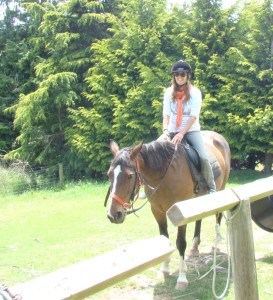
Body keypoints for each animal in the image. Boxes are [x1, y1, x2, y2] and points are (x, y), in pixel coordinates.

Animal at [105, 130, 228, 290]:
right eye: (109, 174)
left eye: (130, 176)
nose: (114, 214)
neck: (165, 173)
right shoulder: (157, 211)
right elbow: (164, 240)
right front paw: (164, 270)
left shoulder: (181, 212)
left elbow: (180, 243)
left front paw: (182, 279)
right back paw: (194, 248)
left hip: (221, 190)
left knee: (218, 216)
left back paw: (215, 246)